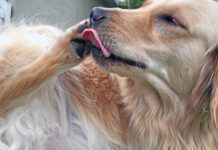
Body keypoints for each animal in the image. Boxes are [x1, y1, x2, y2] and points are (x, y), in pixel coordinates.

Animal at [0, 0, 218, 149]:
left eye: (171, 20)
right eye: (145, 5)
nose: (94, 13)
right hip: (39, 40)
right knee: (8, 90)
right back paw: (68, 46)